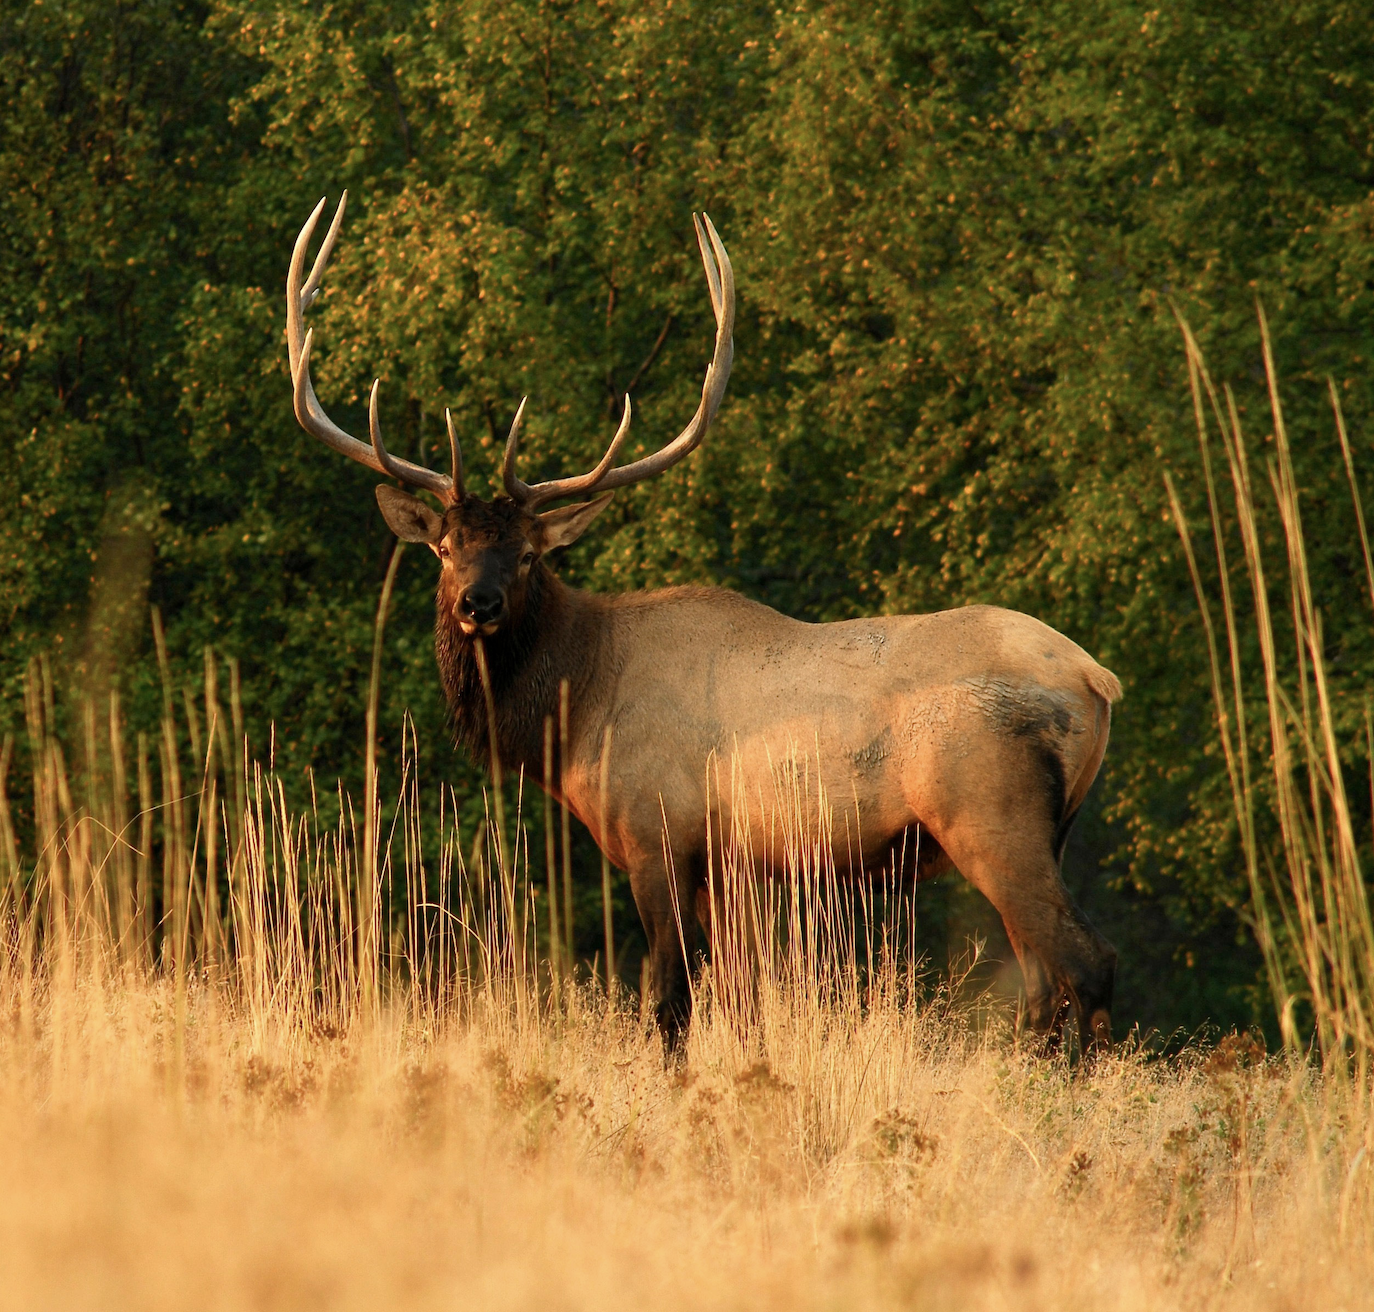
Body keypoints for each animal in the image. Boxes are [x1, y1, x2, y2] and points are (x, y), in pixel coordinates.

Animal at [286, 194, 1122, 1053]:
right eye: (446, 548)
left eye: (526, 554)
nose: (474, 605)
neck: (577, 709)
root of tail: (1096, 680)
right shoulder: (730, 864)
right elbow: (740, 1001)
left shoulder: (656, 830)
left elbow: (670, 998)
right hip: (1041, 827)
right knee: (1047, 982)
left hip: (990, 810)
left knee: (1085, 963)